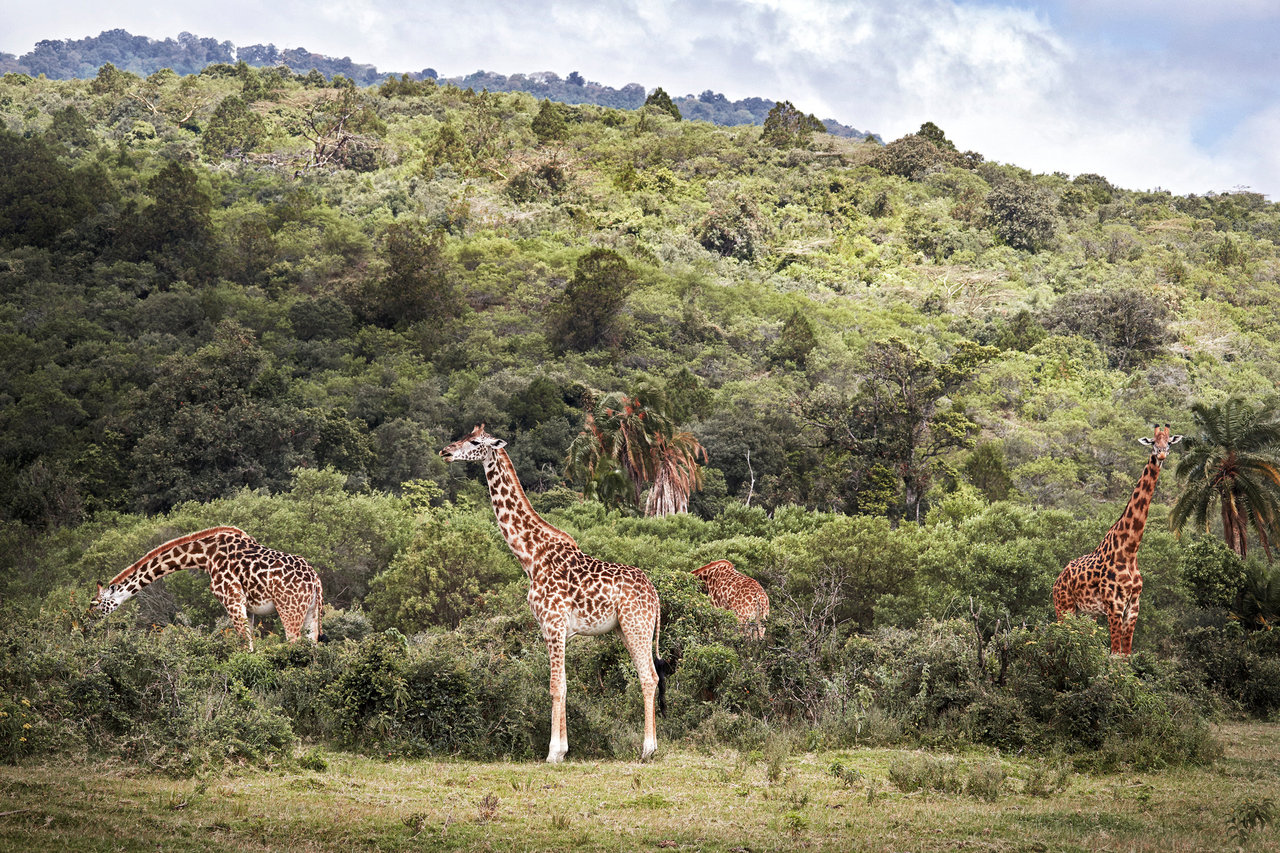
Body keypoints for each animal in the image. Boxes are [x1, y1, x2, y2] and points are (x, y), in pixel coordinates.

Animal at [86, 522, 325, 648]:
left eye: (95, 603)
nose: (87, 622)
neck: (205, 556)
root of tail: (315, 580)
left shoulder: (232, 600)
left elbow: (245, 647)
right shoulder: (247, 607)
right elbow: (250, 644)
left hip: (289, 610)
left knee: (293, 643)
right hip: (311, 612)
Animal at [440, 422, 670, 758]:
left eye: (474, 442)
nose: (445, 451)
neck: (530, 556)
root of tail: (655, 595)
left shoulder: (553, 623)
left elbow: (555, 686)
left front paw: (553, 753)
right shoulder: (555, 629)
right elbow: (564, 683)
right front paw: (562, 750)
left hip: (636, 625)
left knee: (648, 677)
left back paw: (648, 749)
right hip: (625, 630)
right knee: (648, 675)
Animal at [1049, 422, 1177, 650]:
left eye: (1169, 442)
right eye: (1153, 442)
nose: (1161, 454)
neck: (1129, 549)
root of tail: (1057, 580)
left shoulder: (1133, 606)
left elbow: (1125, 655)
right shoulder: (1115, 606)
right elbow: (1115, 652)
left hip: (1087, 613)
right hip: (1064, 607)